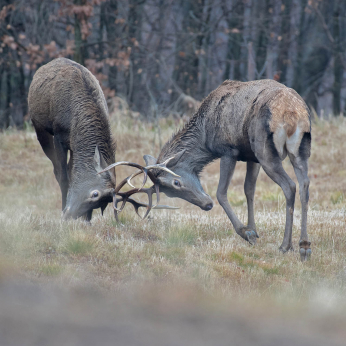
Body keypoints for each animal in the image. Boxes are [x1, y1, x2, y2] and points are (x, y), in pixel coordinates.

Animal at [28, 58, 177, 222]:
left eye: (99, 205)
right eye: (95, 193)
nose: (69, 216)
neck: (75, 120)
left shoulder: (75, 145)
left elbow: (72, 174)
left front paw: (86, 220)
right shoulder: (59, 136)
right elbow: (63, 177)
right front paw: (62, 209)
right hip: (39, 126)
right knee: (56, 168)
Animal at [102, 79, 310, 260]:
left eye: (176, 182)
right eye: (169, 194)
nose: (206, 205)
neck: (205, 137)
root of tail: (293, 113)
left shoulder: (229, 150)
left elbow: (221, 193)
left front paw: (246, 232)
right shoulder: (251, 156)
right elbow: (249, 189)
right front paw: (253, 230)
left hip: (265, 149)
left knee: (290, 186)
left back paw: (286, 245)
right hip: (300, 148)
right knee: (304, 185)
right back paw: (304, 246)